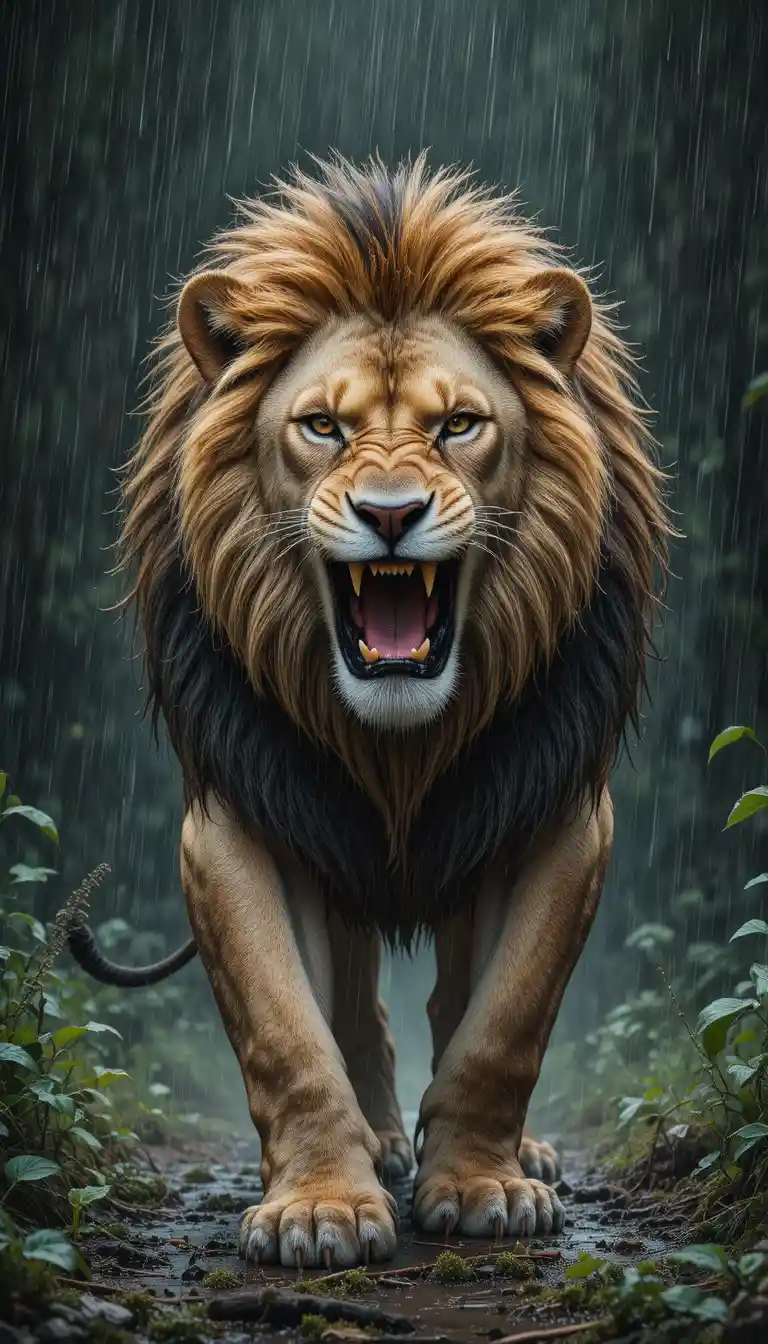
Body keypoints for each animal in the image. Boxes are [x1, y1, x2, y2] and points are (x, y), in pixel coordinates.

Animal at [69, 154, 668, 1268]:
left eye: (458, 425)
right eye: (324, 427)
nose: (391, 513)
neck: (398, 749)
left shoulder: (561, 810)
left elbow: (504, 1021)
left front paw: (482, 1184)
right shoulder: (237, 817)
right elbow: (286, 1030)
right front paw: (322, 1207)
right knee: (352, 1004)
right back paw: (383, 1144)